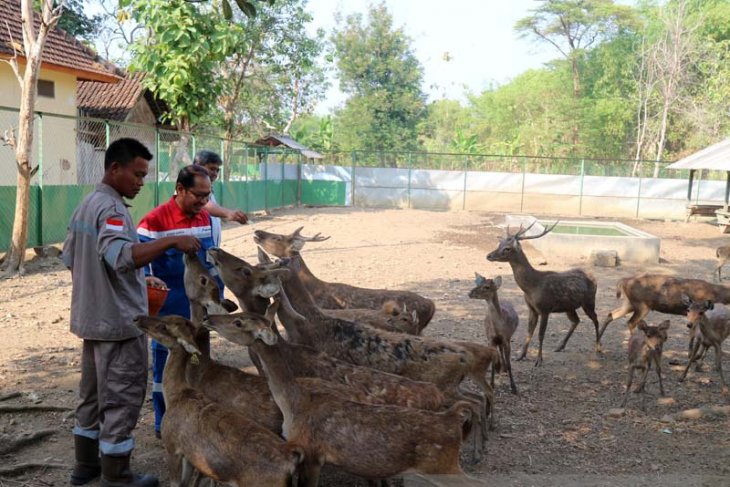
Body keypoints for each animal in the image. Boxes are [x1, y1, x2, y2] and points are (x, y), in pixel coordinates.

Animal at [131, 314, 302, 486]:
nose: (137, 318)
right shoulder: (189, 456)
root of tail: (291, 461)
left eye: (164, 326)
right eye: (164, 315)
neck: (174, 395)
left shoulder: (172, 446)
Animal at [203, 304, 478, 487]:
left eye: (238, 322)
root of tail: (454, 418)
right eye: (238, 315)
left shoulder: (311, 453)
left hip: (443, 464)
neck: (293, 405)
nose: (208, 318)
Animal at [486, 221, 600, 366]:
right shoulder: (532, 309)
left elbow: (541, 334)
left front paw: (539, 360)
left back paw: (598, 348)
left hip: (589, 301)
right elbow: (529, 332)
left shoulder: (545, 308)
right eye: (499, 244)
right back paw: (560, 346)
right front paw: (520, 356)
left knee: (596, 319)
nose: (488, 256)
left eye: (507, 248)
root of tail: (594, 278)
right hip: (569, 307)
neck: (531, 287)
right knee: (576, 320)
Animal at [596, 274, 730, 344]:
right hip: (642, 305)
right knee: (631, 322)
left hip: (629, 303)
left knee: (611, 314)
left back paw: (599, 347)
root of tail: (624, 281)